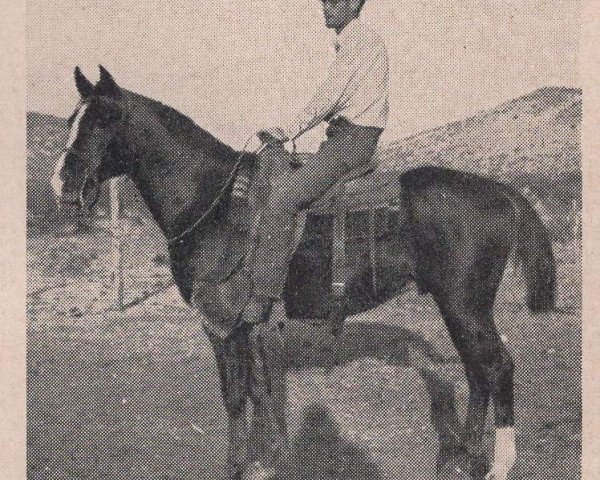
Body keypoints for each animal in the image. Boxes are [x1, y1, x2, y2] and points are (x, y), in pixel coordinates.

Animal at [52, 66, 556, 480]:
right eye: (74, 116)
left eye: (103, 119)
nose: (61, 183)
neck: (211, 200)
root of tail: (498, 191)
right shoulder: (247, 328)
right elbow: (257, 393)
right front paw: (266, 459)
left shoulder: (222, 324)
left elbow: (235, 396)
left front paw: (240, 466)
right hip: (461, 310)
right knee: (477, 371)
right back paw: (465, 458)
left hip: (464, 307)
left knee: (496, 366)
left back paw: (497, 465)